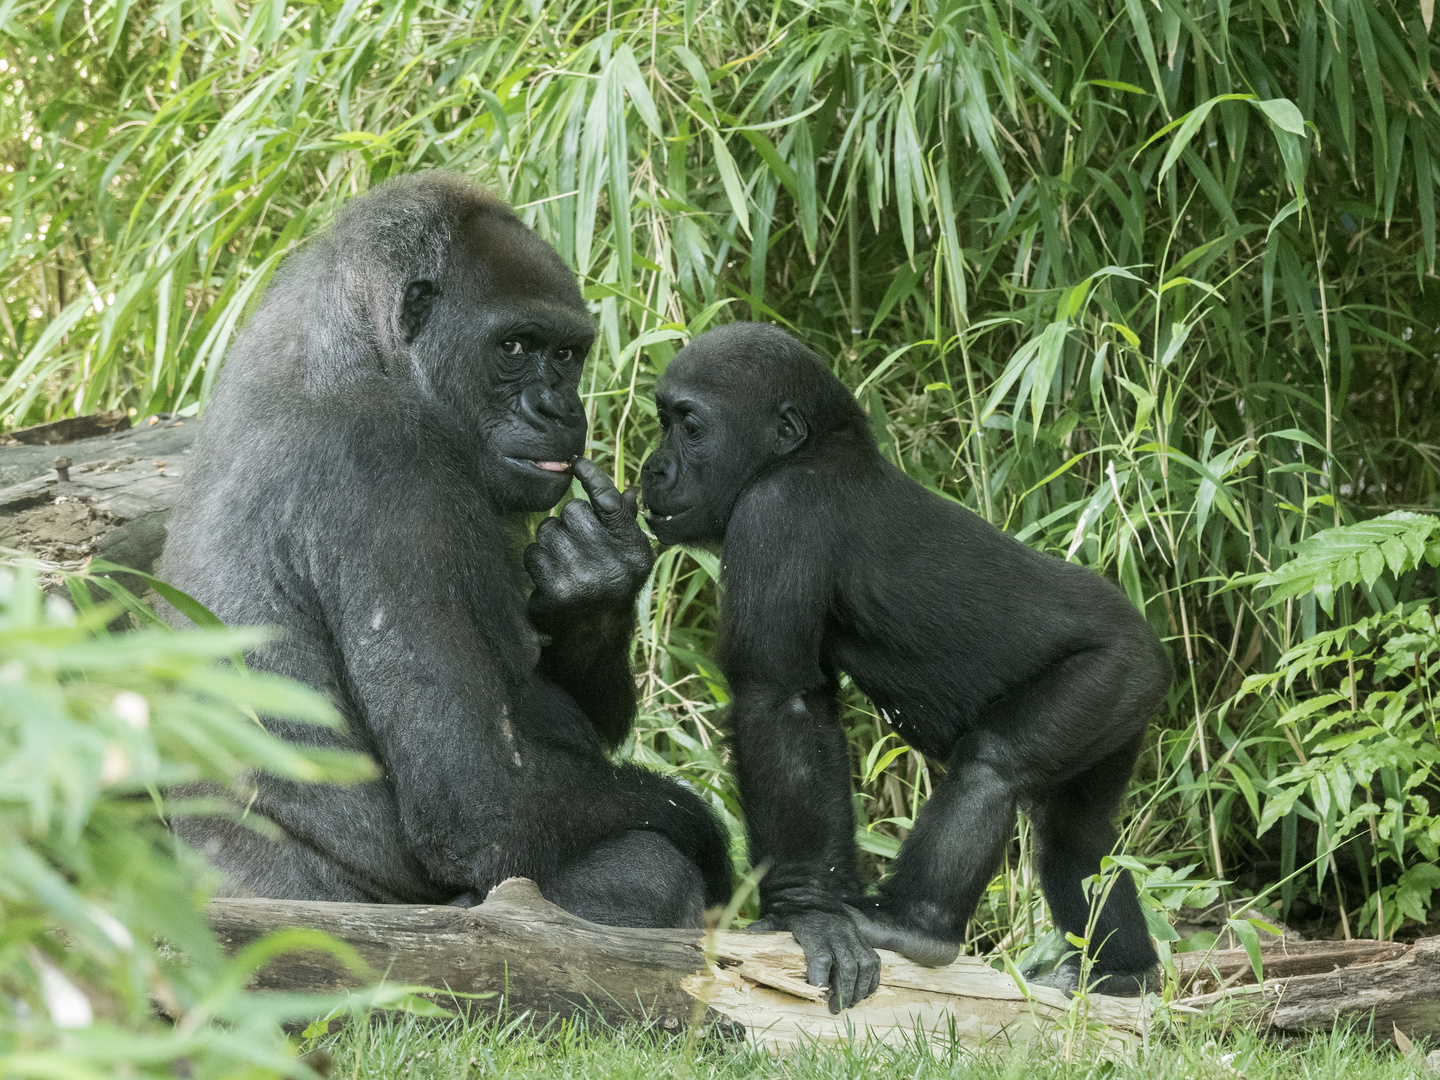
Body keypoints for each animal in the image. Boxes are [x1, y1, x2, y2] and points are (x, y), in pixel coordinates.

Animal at [157, 173, 731, 927]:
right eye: (514, 347)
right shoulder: (388, 470)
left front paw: (596, 580)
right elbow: (478, 801)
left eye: (566, 354)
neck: (361, 341)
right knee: (648, 867)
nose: (560, 411)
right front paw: (709, 834)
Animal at [642, 324, 1169, 1013]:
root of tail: (1151, 647)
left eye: (690, 426)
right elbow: (810, 712)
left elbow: (777, 700)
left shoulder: (779, 514)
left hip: (1113, 671)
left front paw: (803, 909)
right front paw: (819, 904)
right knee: (1076, 829)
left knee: (994, 765)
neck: (815, 449)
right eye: (663, 420)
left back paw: (917, 925)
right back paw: (1124, 972)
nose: (652, 469)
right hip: (1127, 700)